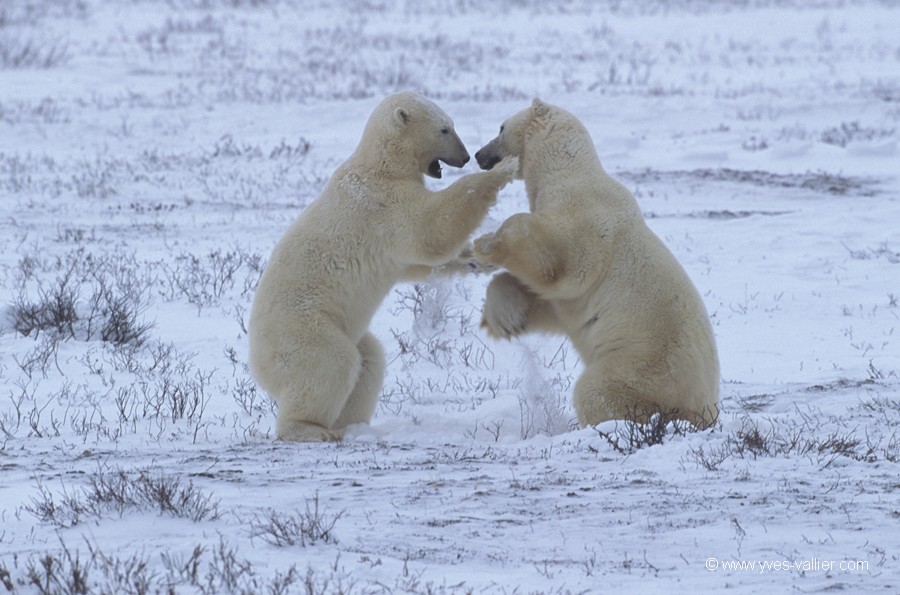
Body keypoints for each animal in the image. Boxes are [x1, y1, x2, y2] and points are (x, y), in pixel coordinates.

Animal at [248, 91, 512, 440]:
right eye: (444, 129)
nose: (466, 157)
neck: (381, 165)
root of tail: (257, 366)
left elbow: (415, 263)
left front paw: (478, 260)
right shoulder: (381, 204)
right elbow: (430, 232)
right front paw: (502, 170)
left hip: (345, 329)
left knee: (369, 358)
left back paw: (351, 424)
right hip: (302, 328)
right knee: (331, 362)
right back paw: (313, 429)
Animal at [474, 100, 720, 430]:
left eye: (501, 127)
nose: (478, 154)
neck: (568, 170)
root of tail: (705, 409)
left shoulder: (585, 222)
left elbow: (560, 265)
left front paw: (485, 244)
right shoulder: (573, 299)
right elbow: (551, 304)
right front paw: (505, 319)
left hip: (642, 365)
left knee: (596, 391)